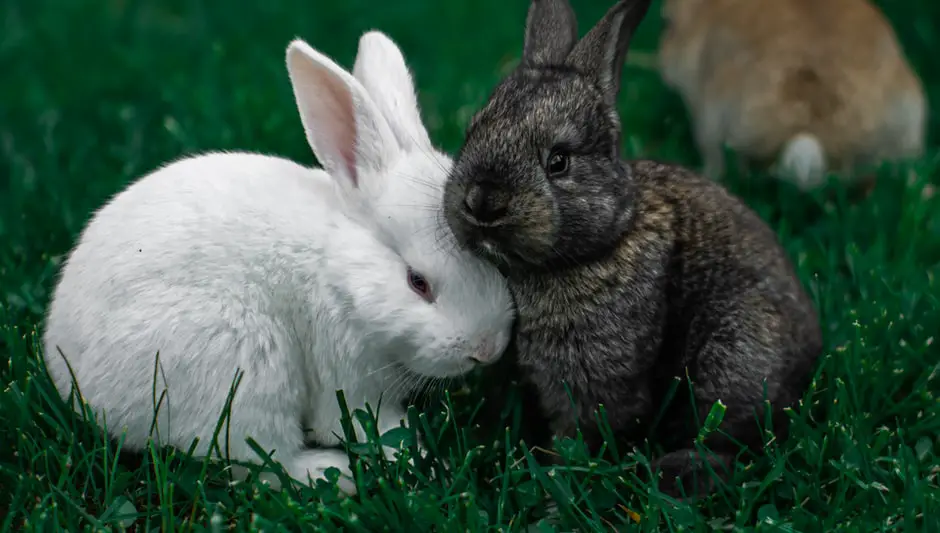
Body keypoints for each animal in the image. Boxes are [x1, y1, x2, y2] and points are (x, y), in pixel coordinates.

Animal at [42, 30, 516, 494]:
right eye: (417, 282)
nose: (487, 349)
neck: (341, 274)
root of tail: (72, 378)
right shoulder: (346, 376)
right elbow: (365, 425)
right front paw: (422, 459)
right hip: (244, 369)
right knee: (262, 462)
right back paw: (333, 473)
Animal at [440, 0, 824, 498]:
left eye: (559, 161)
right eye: (473, 131)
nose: (482, 201)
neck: (604, 239)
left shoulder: (593, 379)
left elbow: (584, 429)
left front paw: (558, 481)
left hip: (737, 356)